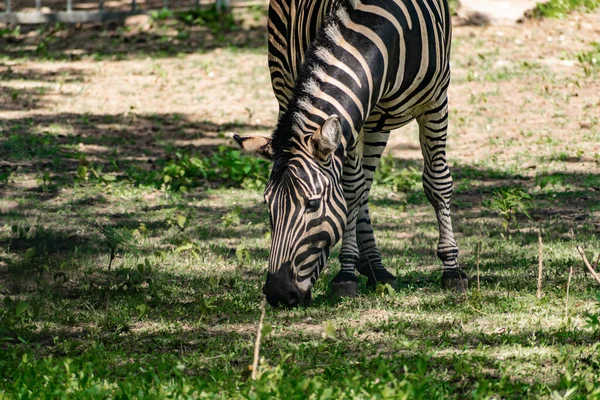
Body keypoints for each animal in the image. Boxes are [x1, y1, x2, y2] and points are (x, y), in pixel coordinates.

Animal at [232, 0, 466, 308]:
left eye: (312, 204)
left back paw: (376, 268)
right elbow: (352, 190)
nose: (278, 294)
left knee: (367, 184)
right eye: (267, 205)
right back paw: (372, 266)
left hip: (379, 124)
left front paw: (452, 268)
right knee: (360, 187)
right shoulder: (355, 119)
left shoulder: (435, 102)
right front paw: (346, 273)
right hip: (285, 76)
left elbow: (437, 182)